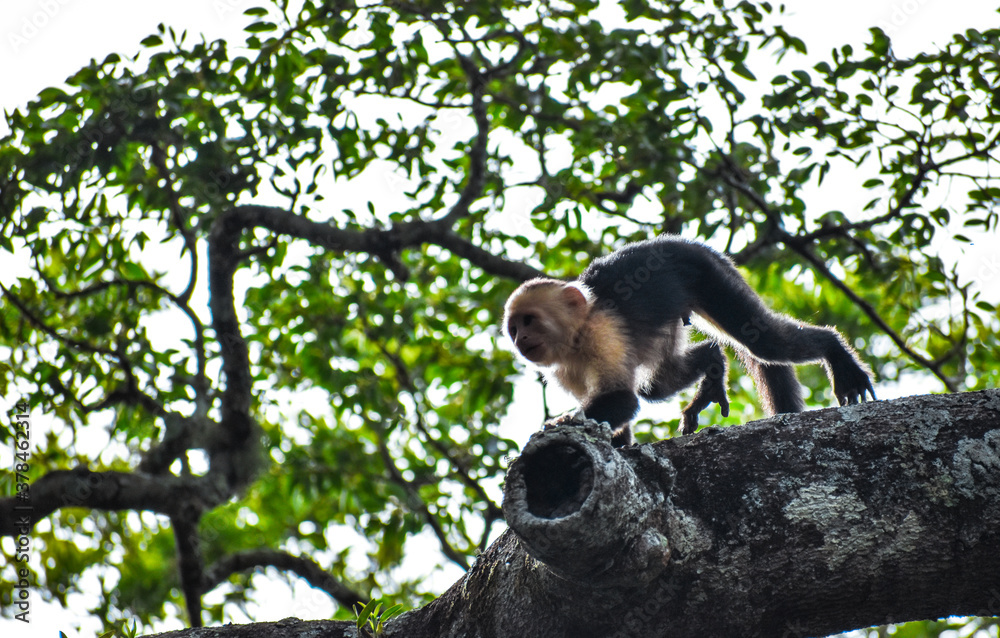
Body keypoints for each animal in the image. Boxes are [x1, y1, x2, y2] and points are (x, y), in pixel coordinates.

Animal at [503, 236, 875, 446]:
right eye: (514, 328)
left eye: (529, 321)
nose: (521, 339)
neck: (576, 336)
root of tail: (684, 243)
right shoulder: (564, 370)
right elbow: (620, 406)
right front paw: (617, 443)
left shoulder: (601, 333)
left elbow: (623, 399)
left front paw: (561, 424)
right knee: (655, 385)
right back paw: (711, 365)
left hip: (705, 274)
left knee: (763, 340)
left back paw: (835, 352)